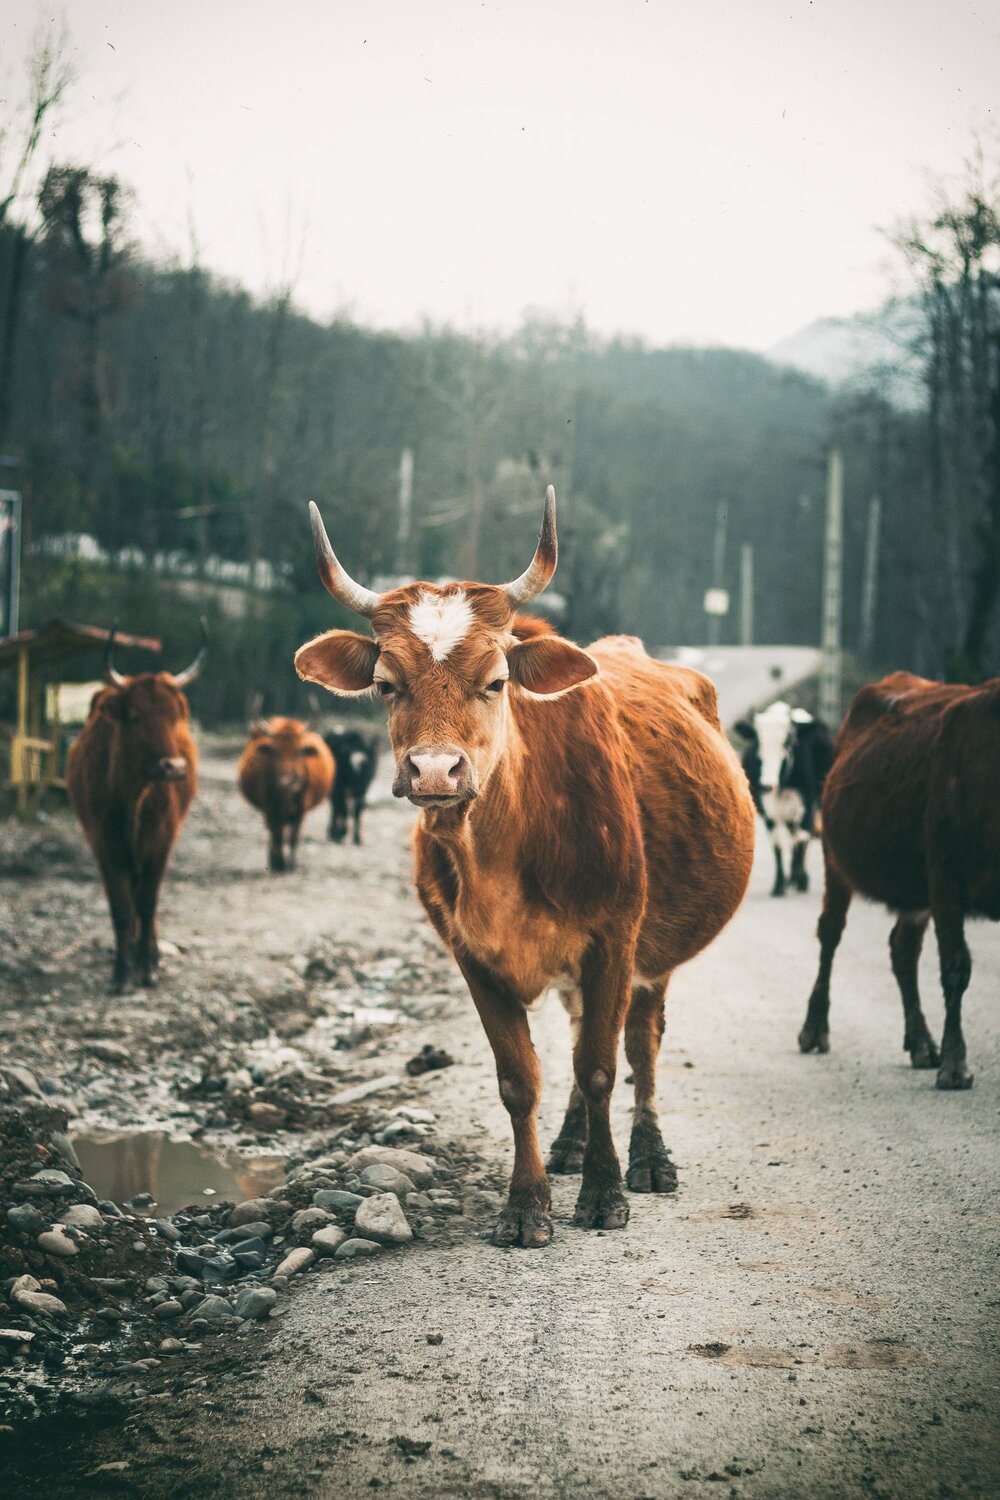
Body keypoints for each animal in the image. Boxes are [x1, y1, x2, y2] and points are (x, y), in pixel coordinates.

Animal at [67, 623, 206, 993]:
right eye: (135, 716)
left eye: (174, 717)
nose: (174, 767)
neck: (131, 798)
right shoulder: (104, 846)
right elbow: (120, 907)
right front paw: (121, 972)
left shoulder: (160, 843)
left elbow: (146, 902)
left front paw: (146, 966)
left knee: (146, 900)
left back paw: (151, 953)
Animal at [237, 717, 334, 872]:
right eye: (274, 751)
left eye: (298, 751)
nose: (286, 781)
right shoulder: (270, 809)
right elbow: (277, 835)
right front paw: (278, 863)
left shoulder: (301, 811)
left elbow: (293, 837)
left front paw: (291, 864)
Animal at [295, 487, 755, 1248]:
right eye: (386, 684)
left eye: (496, 681)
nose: (435, 771)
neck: (501, 856)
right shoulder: (471, 954)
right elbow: (520, 1079)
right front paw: (527, 1203)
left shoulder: (613, 939)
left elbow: (600, 1068)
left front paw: (604, 1193)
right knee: (577, 1031)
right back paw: (568, 1145)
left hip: (654, 952)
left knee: (641, 1043)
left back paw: (649, 1157)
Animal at [735, 701, 834, 896]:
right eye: (758, 743)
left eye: (787, 743)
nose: (767, 784)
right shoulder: (769, 812)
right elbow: (778, 845)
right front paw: (779, 885)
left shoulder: (807, 805)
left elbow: (801, 839)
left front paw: (800, 878)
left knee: (802, 838)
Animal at [799, 671, 1000, 1090]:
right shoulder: (945, 872)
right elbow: (955, 966)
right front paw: (955, 1067)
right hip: (835, 859)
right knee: (830, 933)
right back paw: (814, 1028)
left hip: (913, 891)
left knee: (902, 948)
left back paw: (921, 1041)